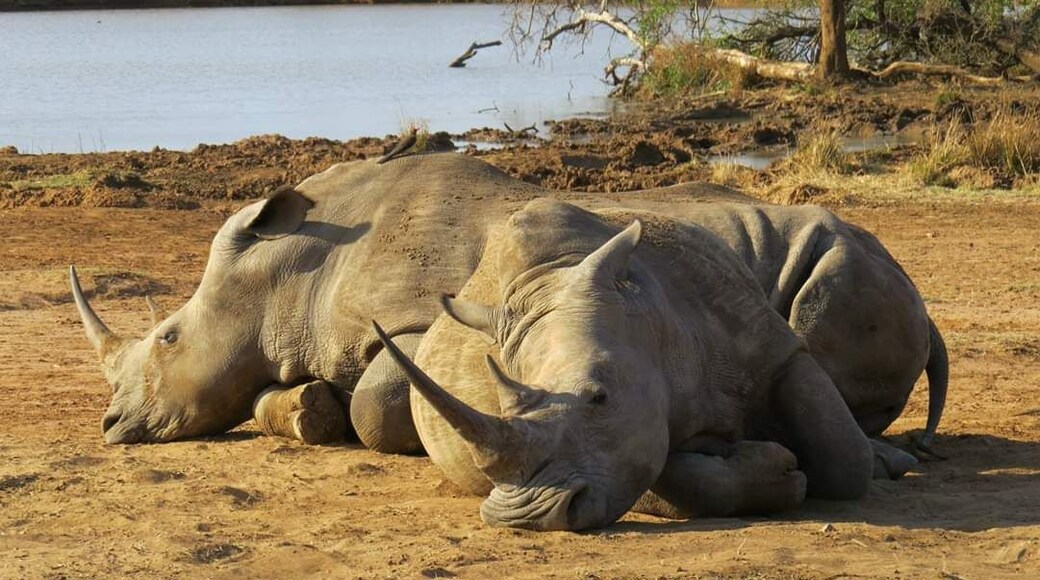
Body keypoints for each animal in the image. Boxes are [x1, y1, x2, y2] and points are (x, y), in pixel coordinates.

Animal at [374, 199, 887, 530]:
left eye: (600, 397)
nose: (527, 518)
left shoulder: (772, 348)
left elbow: (844, 458)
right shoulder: (628, 441)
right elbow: (669, 474)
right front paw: (775, 468)